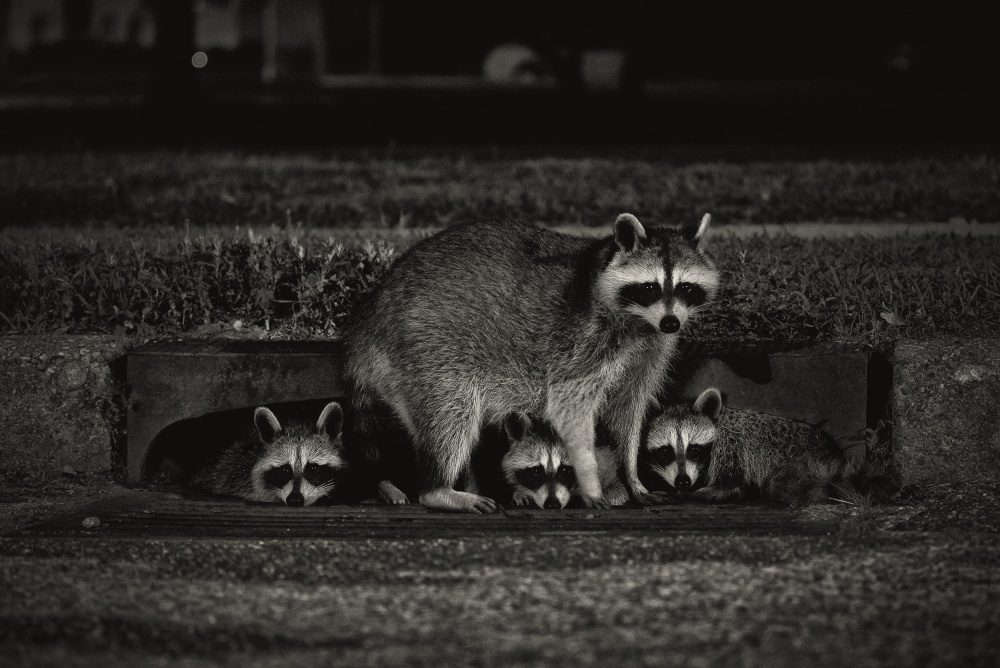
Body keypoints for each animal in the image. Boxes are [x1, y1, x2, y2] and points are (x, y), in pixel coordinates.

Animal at [640, 386, 860, 506]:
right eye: (665, 451)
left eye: (694, 449)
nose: (683, 482)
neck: (717, 421)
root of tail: (831, 449)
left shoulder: (729, 444)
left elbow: (731, 486)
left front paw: (696, 493)